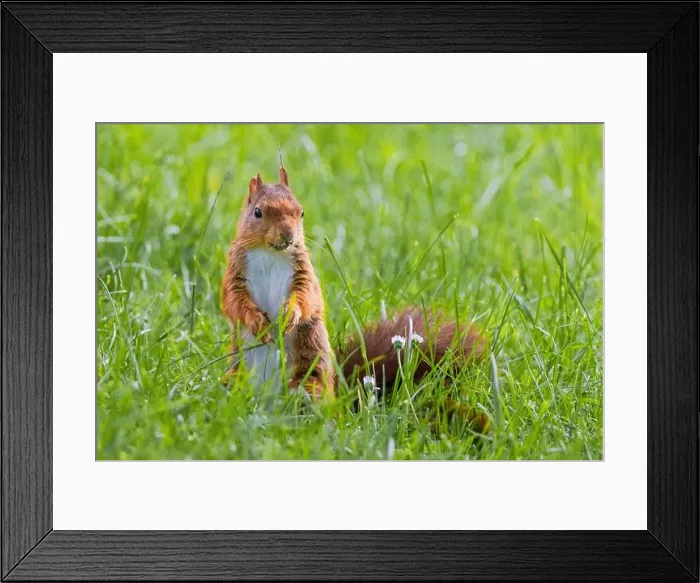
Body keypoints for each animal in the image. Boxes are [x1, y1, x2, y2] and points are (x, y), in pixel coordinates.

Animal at [221, 166, 488, 431]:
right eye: (258, 212)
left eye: (301, 212)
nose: (288, 235)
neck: (270, 253)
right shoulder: (235, 272)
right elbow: (233, 301)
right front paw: (255, 320)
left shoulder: (304, 273)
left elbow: (307, 297)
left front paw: (290, 314)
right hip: (236, 375)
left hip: (310, 370)